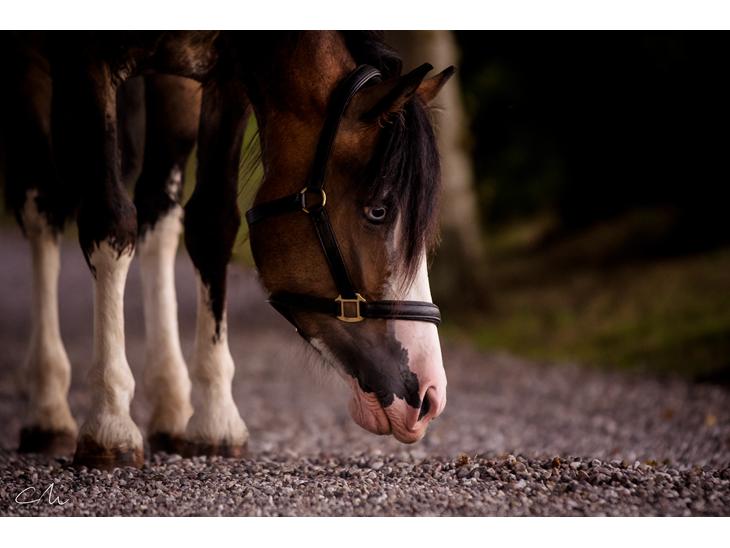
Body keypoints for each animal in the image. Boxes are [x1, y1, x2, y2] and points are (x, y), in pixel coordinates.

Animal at [2, 31, 454, 469]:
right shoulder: (88, 63)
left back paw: (170, 406)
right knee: (42, 207)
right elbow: (110, 222)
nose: (429, 396)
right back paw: (48, 410)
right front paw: (110, 423)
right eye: (378, 210)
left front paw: (215, 420)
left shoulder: (226, 80)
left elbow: (212, 224)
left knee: (158, 210)